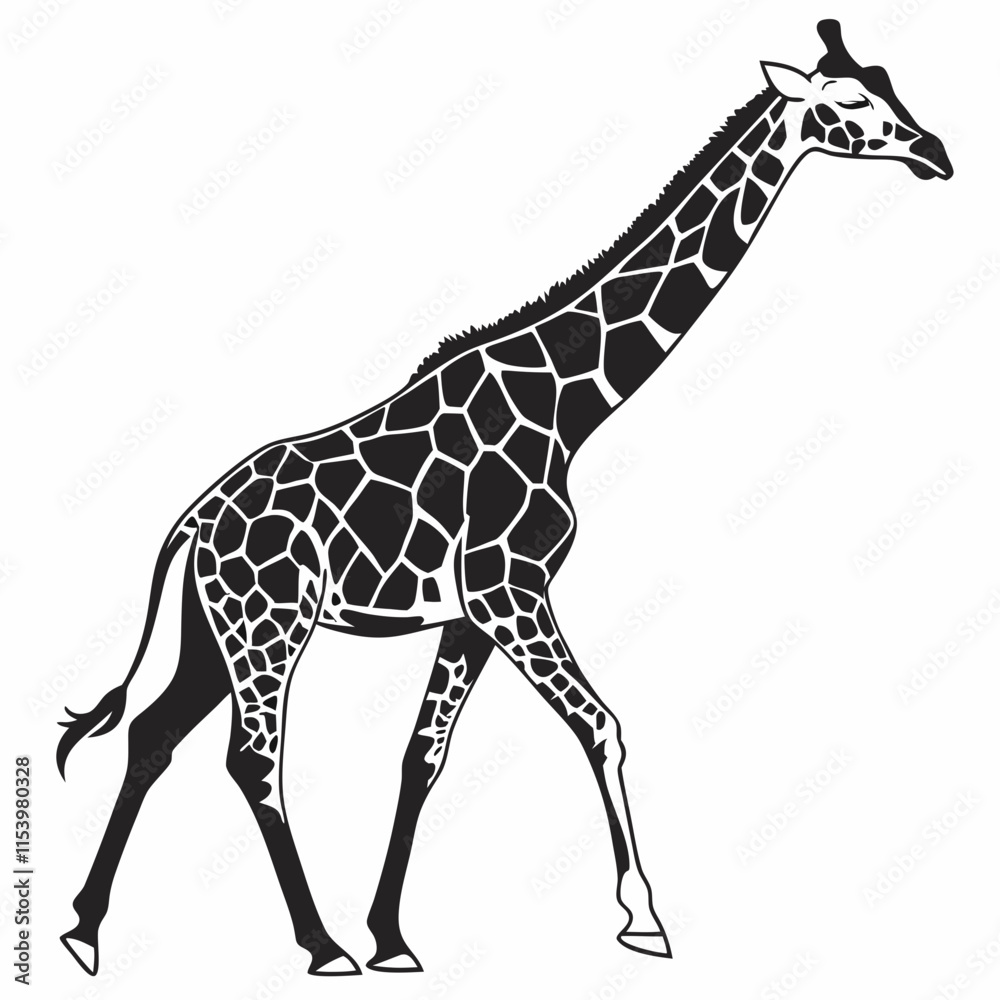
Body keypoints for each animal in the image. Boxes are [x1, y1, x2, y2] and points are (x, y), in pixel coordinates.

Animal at [58, 21, 952, 978]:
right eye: (848, 101)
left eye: (889, 81)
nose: (935, 153)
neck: (570, 402)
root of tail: (194, 520)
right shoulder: (509, 588)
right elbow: (601, 725)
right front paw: (643, 919)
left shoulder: (470, 615)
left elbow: (423, 758)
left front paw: (393, 937)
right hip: (271, 624)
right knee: (252, 758)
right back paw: (318, 945)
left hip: (214, 628)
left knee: (154, 736)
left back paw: (84, 930)